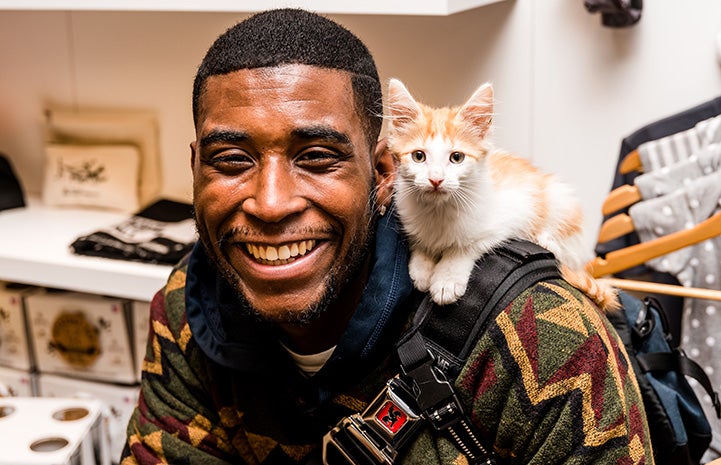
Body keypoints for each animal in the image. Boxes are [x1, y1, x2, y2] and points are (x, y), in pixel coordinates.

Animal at [388, 79, 620, 312]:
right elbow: (420, 241)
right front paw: (421, 268)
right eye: (419, 156)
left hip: (560, 200)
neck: (439, 210)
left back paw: (548, 242)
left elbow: (467, 245)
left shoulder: (508, 215)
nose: (436, 180)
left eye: (457, 157)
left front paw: (447, 278)